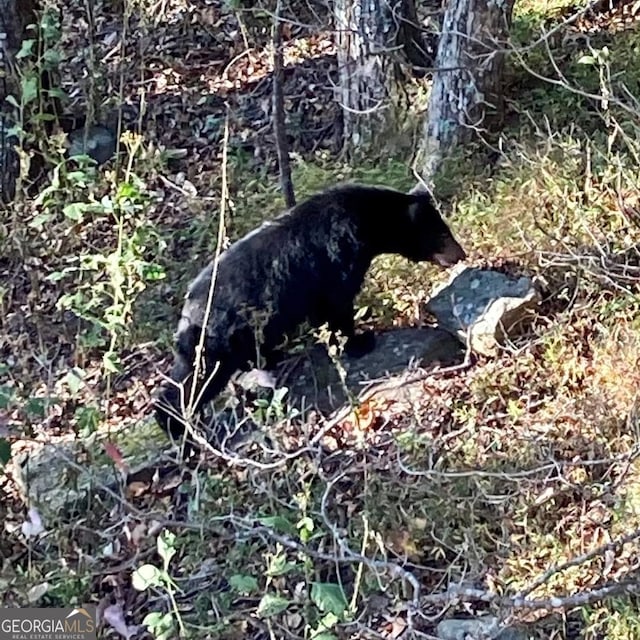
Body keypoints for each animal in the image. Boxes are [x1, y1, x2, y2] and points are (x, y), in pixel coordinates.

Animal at [155, 184, 464, 444]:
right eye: (442, 233)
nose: (460, 253)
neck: (365, 222)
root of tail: (185, 316)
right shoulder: (337, 254)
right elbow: (337, 303)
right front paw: (360, 340)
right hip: (217, 343)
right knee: (195, 380)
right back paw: (178, 427)